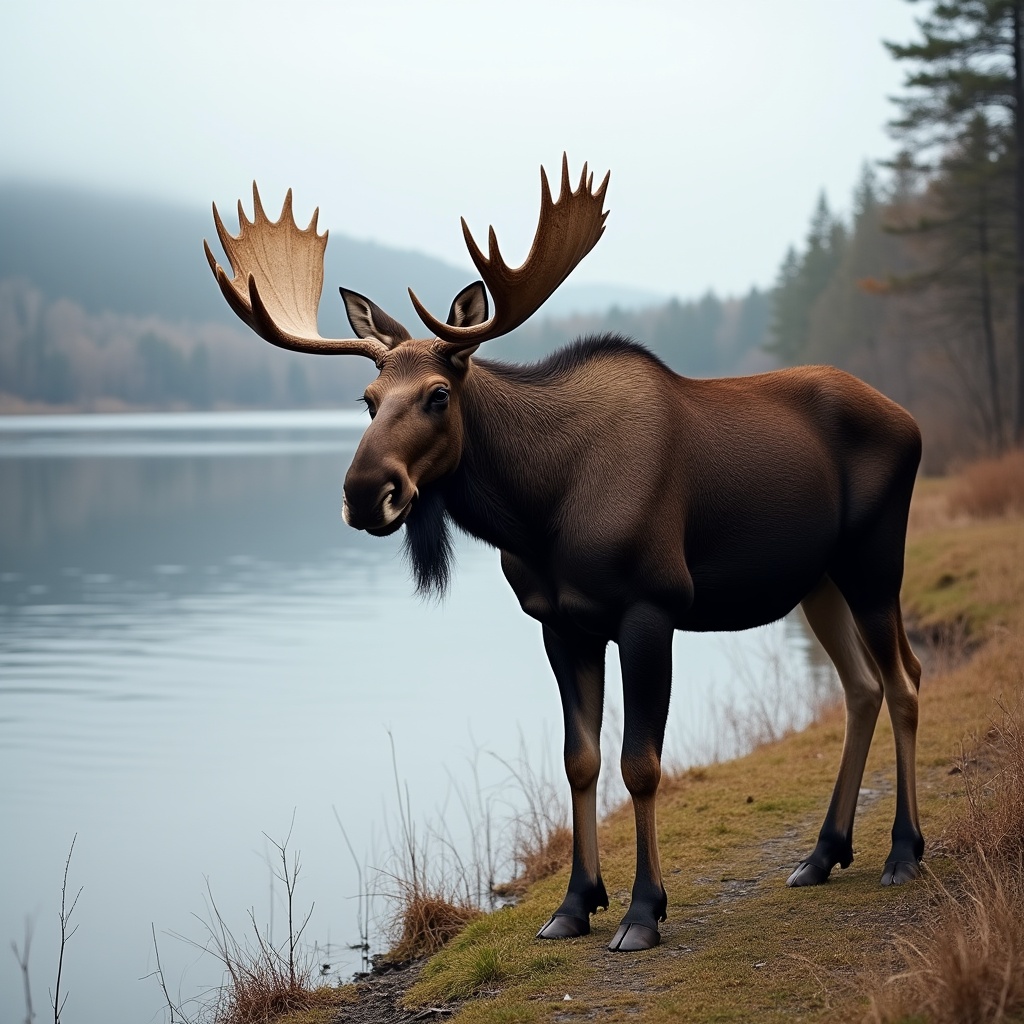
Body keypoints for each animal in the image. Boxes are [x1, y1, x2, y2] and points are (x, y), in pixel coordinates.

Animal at [205, 158, 924, 952]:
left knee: (906, 682)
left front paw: (643, 910)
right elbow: (580, 759)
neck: (538, 512)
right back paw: (824, 854)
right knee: (861, 687)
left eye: (437, 395)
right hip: (818, 580)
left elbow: (640, 764)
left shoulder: (651, 607)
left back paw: (903, 853)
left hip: (875, 560)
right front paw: (576, 903)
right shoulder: (559, 621)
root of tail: (912, 420)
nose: (366, 494)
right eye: (367, 398)